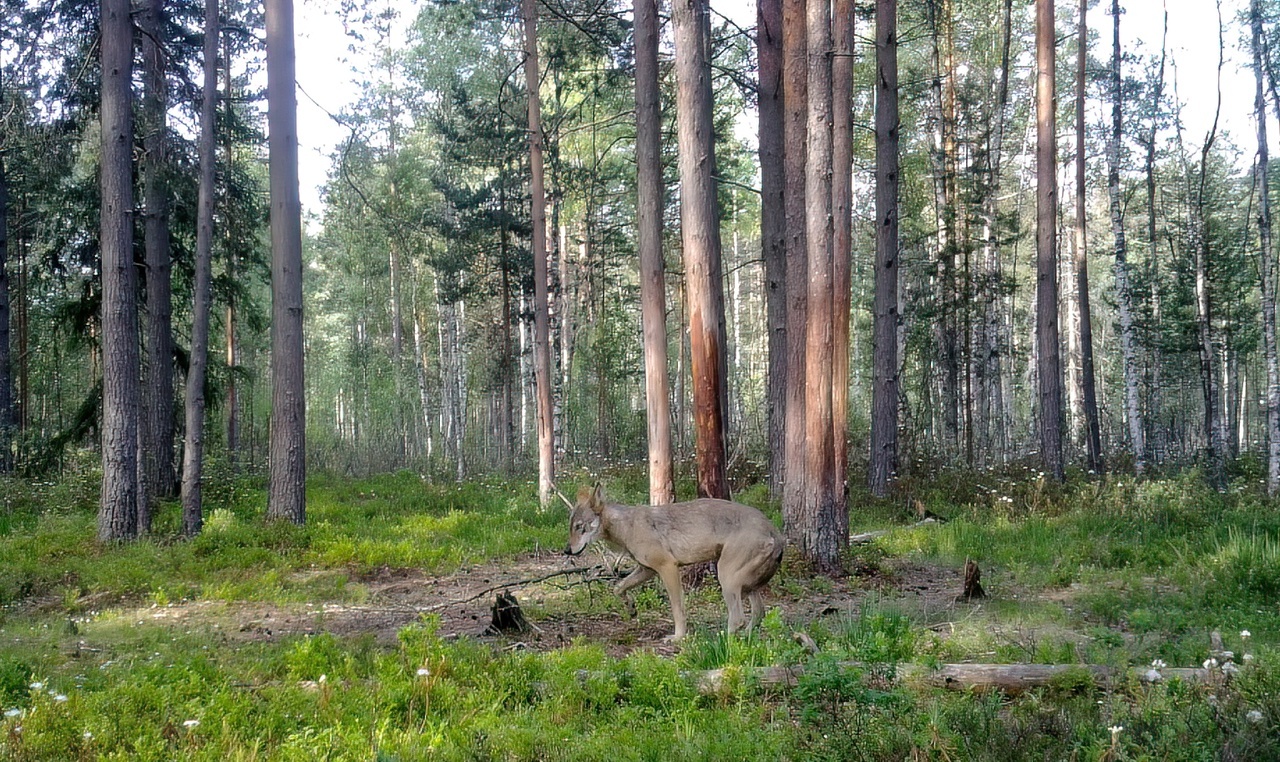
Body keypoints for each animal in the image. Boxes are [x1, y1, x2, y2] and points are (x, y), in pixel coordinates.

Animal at [565, 486, 783, 640]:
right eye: (571, 527)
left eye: (579, 527)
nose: (566, 550)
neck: (627, 526)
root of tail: (774, 530)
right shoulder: (647, 570)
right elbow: (618, 588)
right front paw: (631, 608)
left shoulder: (667, 567)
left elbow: (678, 608)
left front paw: (678, 637)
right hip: (746, 586)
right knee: (759, 613)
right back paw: (744, 637)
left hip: (726, 578)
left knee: (737, 618)